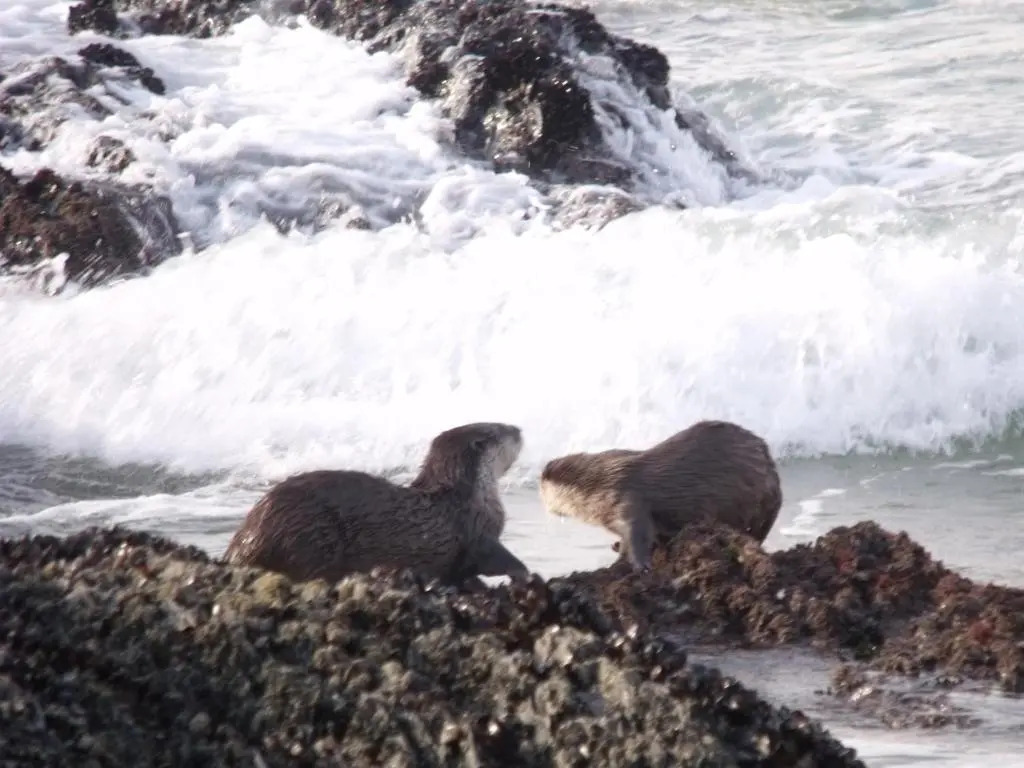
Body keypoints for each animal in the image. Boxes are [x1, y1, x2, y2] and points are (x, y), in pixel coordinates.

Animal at [223, 422, 530, 586]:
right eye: (501, 430)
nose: (519, 428)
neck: (474, 497)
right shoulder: (478, 533)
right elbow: (497, 559)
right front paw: (523, 575)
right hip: (309, 535)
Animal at [539, 420, 782, 573]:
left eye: (544, 493)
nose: (546, 507)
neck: (601, 484)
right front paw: (619, 549)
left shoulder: (628, 499)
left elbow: (639, 534)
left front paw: (638, 566)